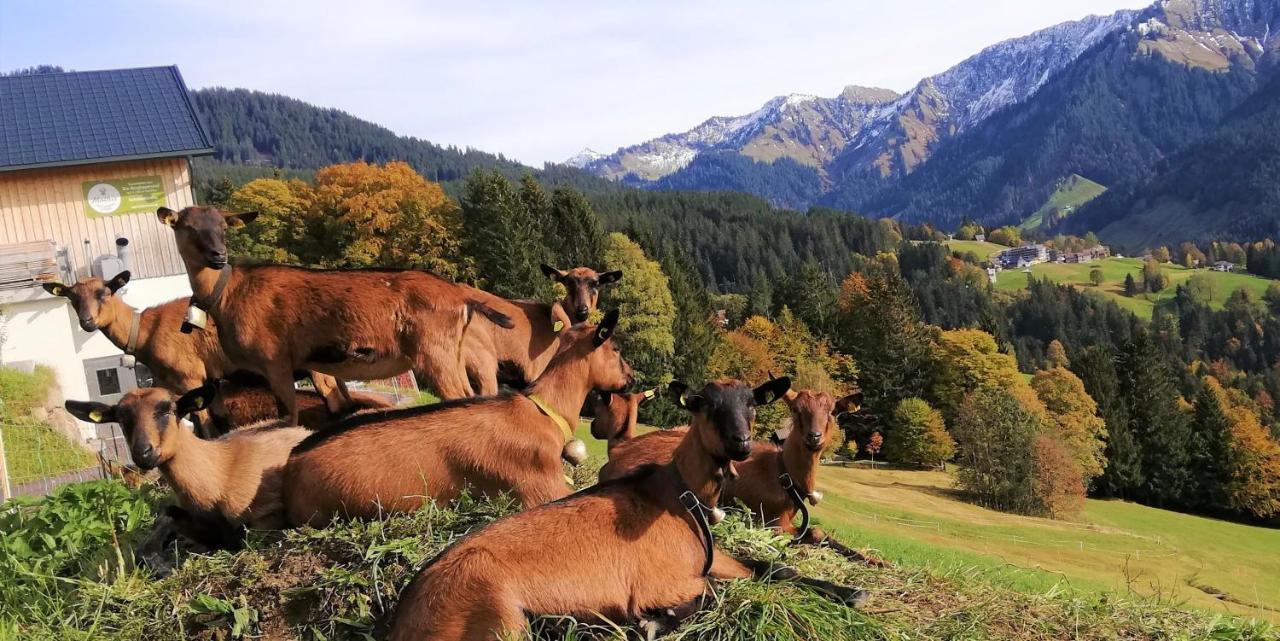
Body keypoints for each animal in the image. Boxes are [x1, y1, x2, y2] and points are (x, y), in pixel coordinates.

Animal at [43, 272, 373, 432]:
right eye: (72, 298)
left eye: (104, 292)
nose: (87, 322)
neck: (146, 330)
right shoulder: (203, 380)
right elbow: (218, 422)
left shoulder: (190, 377)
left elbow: (204, 424)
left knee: (334, 401)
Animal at [160, 205, 514, 424]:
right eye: (187, 227)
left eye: (223, 227)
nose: (218, 256)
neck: (229, 294)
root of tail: (461, 296)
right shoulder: (317, 365)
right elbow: (336, 407)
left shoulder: (275, 360)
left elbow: (288, 417)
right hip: (453, 351)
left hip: (433, 352)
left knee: (459, 396)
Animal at [389, 373, 865, 639]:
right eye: (706, 405)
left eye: (751, 403)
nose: (741, 443)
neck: (679, 497)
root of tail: (401, 620)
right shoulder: (667, 579)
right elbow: (712, 595)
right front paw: (655, 621)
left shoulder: (714, 558)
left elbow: (774, 569)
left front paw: (852, 592)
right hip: (496, 617)